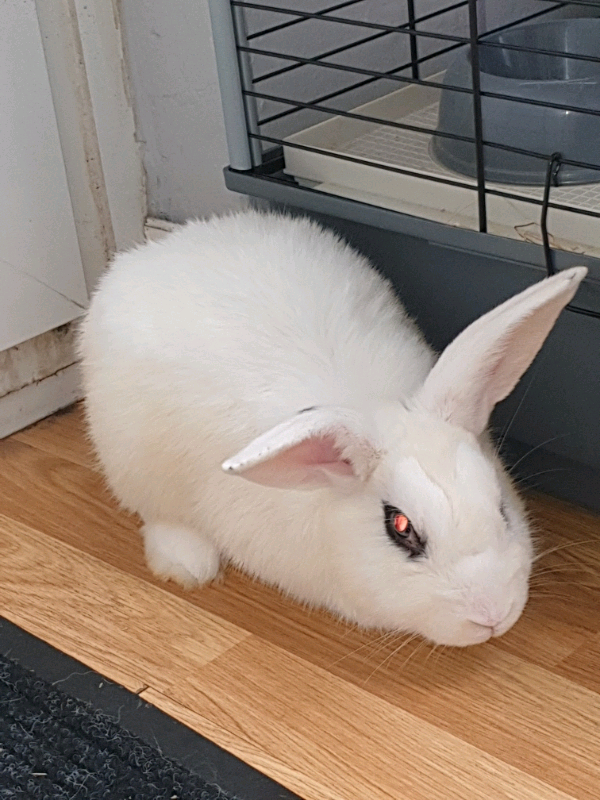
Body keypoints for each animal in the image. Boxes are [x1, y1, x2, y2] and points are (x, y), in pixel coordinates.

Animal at [79, 209, 587, 647]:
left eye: (502, 508)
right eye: (400, 527)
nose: (492, 616)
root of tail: (156, 250)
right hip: (134, 463)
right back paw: (188, 564)